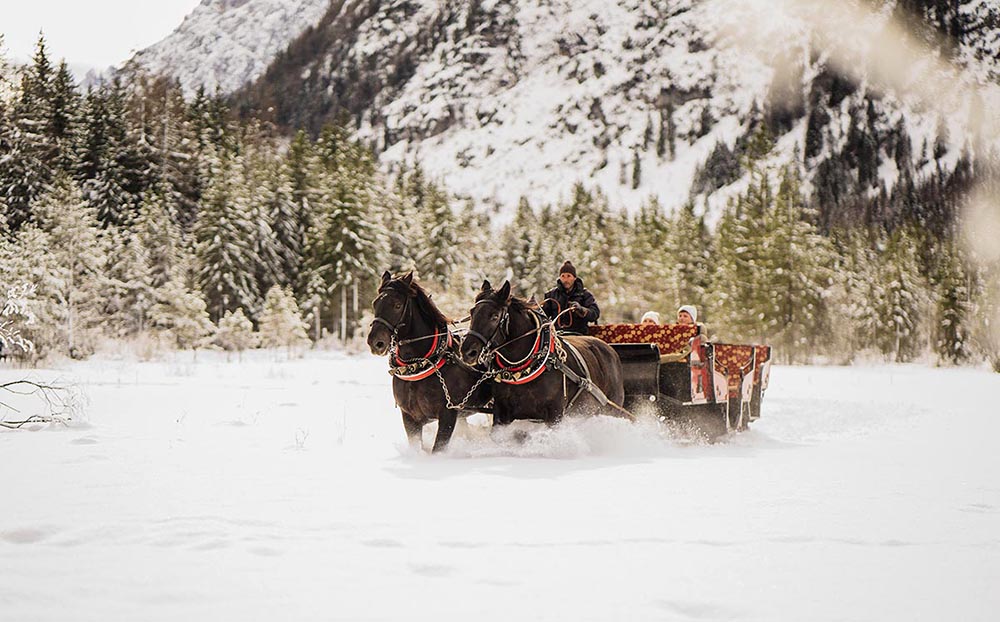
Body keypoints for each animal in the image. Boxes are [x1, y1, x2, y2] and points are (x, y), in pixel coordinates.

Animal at [368, 272, 492, 454]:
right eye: (375, 303)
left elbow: (438, 448)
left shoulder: (448, 416)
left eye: (397, 305)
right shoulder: (409, 417)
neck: (419, 366)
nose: (375, 342)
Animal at [458, 282, 624, 432]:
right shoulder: (501, 412)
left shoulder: (555, 415)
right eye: (472, 312)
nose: (467, 351)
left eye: (495, 316)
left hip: (612, 410)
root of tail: (611, 351)